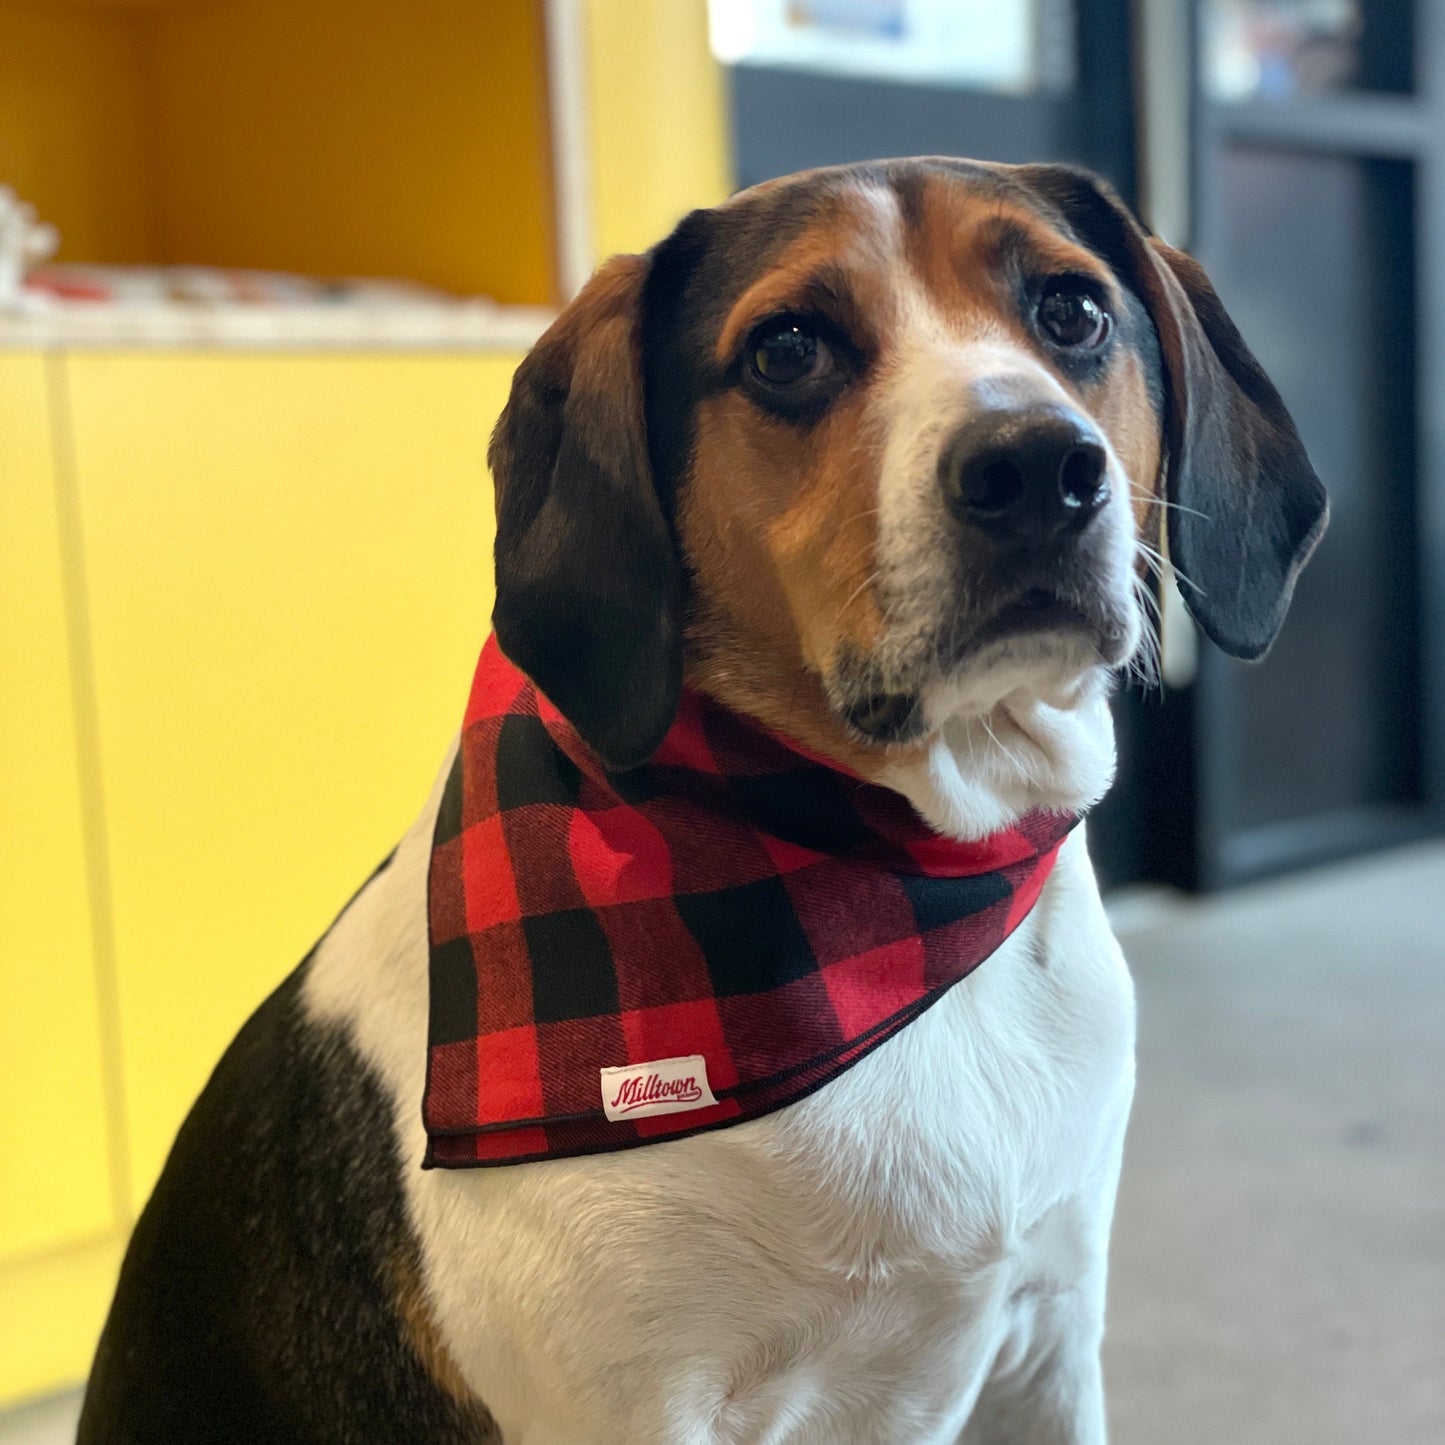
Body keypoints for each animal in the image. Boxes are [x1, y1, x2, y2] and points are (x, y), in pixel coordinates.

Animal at [76, 158, 1323, 1445]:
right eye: (787, 349)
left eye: (1071, 310)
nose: (1034, 465)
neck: (889, 879)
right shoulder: (642, 1408)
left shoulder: (1048, 1339)